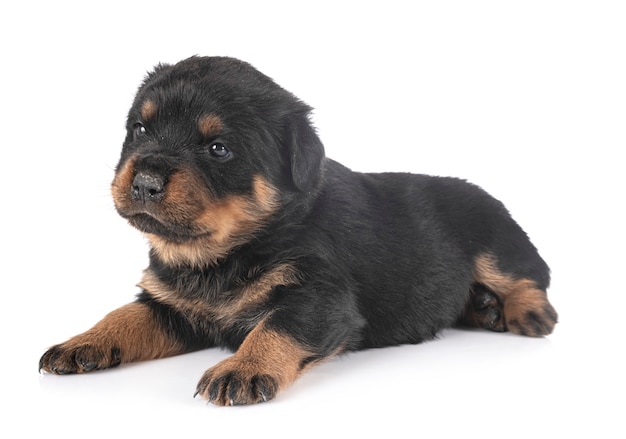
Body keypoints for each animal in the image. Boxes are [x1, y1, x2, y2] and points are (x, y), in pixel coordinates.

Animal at [39, 56, 556, 408]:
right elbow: (124, 316)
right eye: (139, 129)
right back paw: (483, 308)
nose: (144, 181)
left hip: (492, 232)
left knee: (529, 273)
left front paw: (242, 368)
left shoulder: (320, 297)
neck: (222, 255)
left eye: (219, 148)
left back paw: (525, 313)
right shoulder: (171, 305)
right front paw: (80, 342)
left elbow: (277, 326)